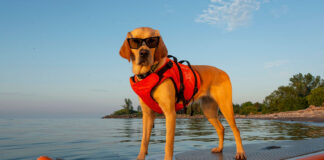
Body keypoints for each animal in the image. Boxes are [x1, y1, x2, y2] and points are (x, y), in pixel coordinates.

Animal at [119, 26, 246, 159]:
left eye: (152, 41)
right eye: (135, 41)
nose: (144, 53)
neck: (150, 73)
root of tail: (223, 72)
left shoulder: (170, 113)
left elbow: (168, 144)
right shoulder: (147, 115)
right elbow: (144, 141)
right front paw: (140, 157)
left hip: (225, 106)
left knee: (236, 129)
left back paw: (240, 152)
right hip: (209, 111)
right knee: (221, 128)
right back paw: (220, 148)